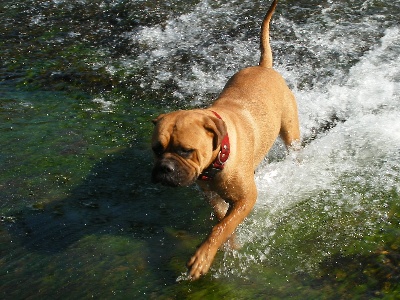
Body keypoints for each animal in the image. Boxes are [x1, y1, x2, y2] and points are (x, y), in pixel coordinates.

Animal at [151, 0, 300, 280]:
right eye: (156, 149)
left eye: (185, 150)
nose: (164, 168)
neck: (217, 158)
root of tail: (264, 66)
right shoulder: (213, 197)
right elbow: (223, 223)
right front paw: (230, 245)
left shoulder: (247, 198)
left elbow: (221, 227)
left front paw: (202, 257)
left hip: (291, 133)